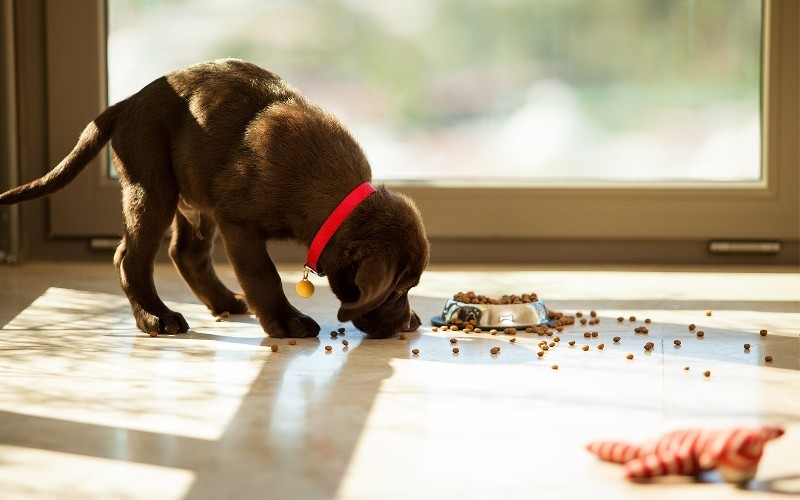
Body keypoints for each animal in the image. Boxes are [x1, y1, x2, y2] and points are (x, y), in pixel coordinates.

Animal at [3, 59, 428, 340]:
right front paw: (285, 320)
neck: (332, 196)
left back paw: (222, 301)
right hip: (152, 187)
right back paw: (155, 318)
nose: (408, 324)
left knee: (185, 252)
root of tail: (127, 102)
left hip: (194, 197)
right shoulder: (238, 222)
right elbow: (264, 275)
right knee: (129, 258)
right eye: (397, 290)